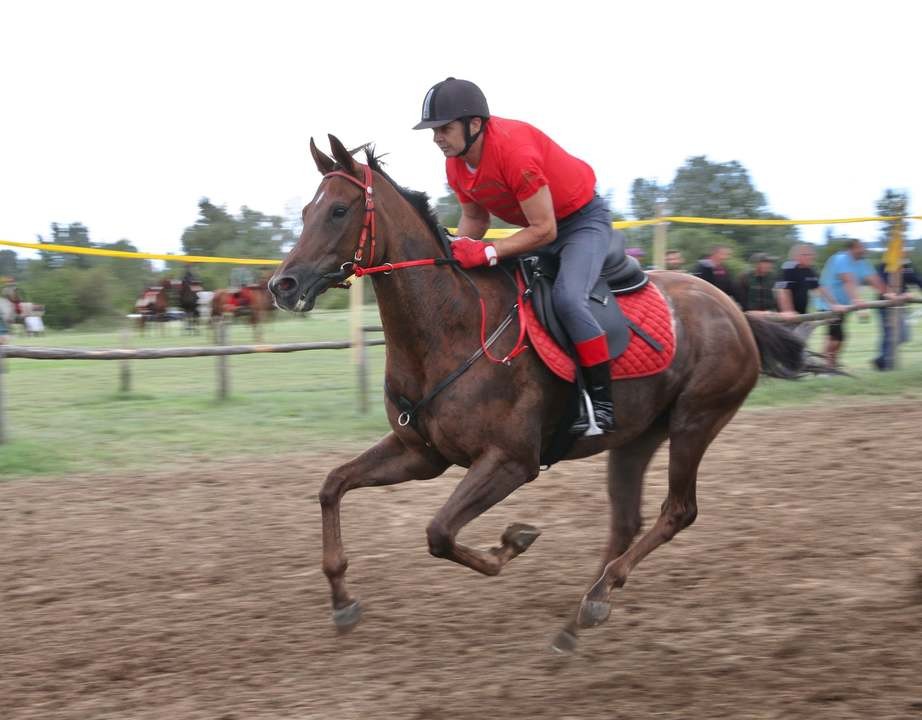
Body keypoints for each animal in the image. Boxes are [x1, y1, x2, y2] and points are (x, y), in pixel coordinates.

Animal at [266, 135, 812, 652]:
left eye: (339, 210)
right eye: (306, 211)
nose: (282, 284)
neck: (448, 328)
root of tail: (736, 311)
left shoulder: (510, 462)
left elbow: (439, 533)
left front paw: (513, 542)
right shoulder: (419, 454)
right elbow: (333, 485)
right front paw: (341, 599)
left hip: (695, 421)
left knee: (677, 511)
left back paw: (597, 598)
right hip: (638, 436)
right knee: (626, 521)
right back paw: (577, 618)